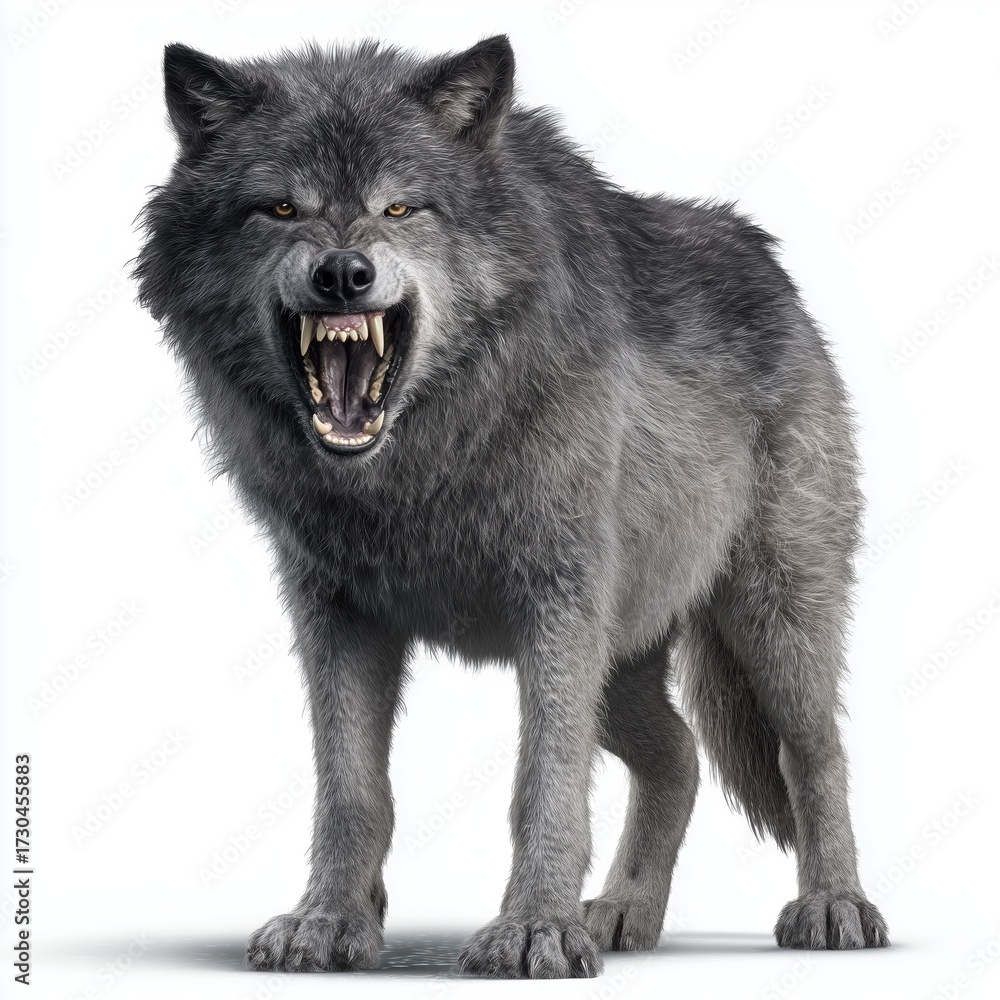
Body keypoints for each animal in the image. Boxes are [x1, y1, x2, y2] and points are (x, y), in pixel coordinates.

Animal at [135, 35, 889, 978]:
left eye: (400, 207)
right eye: (279, 208)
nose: (343, 273)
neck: (416, 475)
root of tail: (772, 267)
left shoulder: (557, 611)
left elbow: (544, 785)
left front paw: (535, 929)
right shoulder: (335, 617)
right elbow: (351, 791)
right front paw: (328, 921)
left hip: (768, 622)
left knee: (813, 754)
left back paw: (835, 906)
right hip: (623, 658)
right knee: (680, 756)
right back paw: (624, 912)